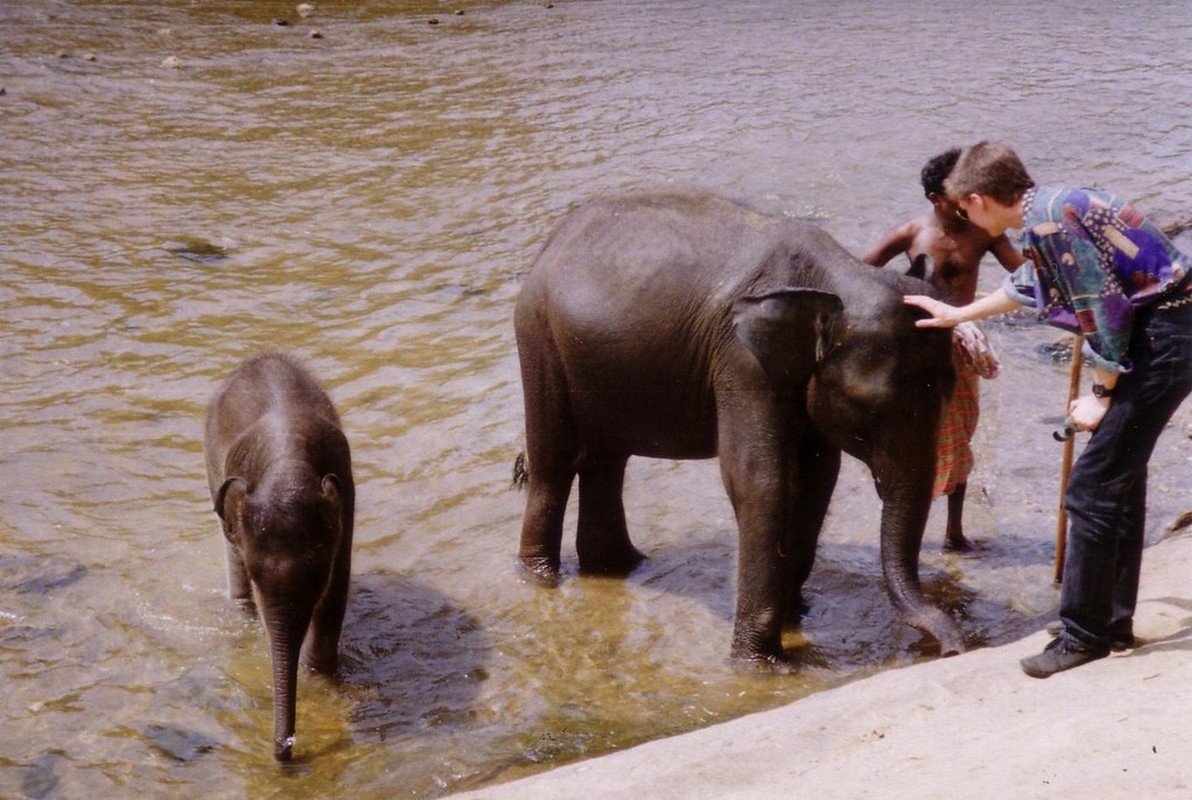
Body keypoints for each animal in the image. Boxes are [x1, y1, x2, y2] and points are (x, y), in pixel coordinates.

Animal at [203, 352, 352, 763]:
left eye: (318, 581)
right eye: (258, 581)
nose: (284, 753)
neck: (287, 470)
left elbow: (337, 595)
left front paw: (322, 680)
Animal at [512, 189, 958, 662]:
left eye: (950, 391)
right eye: (869, 405)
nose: (950, 650)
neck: (834, 276)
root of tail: (553, 242)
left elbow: (817, 477)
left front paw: (794, 615)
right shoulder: (741, 360)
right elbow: (759, 479)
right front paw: (760, 660)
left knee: (606, 461)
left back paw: (620, 566)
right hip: (538, 336)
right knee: (554, 465)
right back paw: (543, 578)